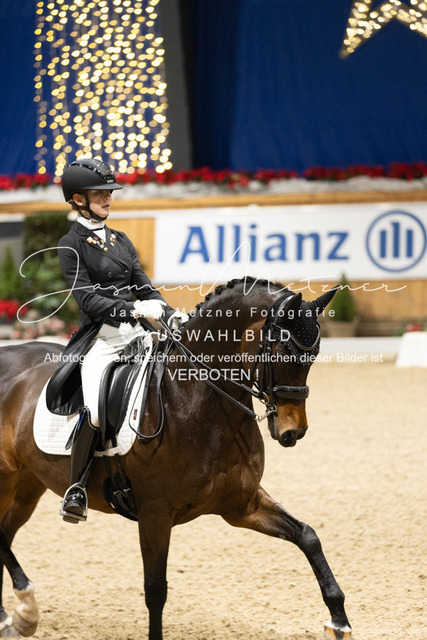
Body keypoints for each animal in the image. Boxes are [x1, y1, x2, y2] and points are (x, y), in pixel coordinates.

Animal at [0, 278, 352, 640]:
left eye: (314, 354)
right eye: (284, 351)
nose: (293, 431)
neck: (195, 400)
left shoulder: (241, 504)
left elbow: (307, 536)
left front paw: (339, 620)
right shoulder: (155, 511)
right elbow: (156, 590)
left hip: (28, 485)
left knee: (4, 533)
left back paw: (10, 615)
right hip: (6, 476)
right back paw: (26, 610)